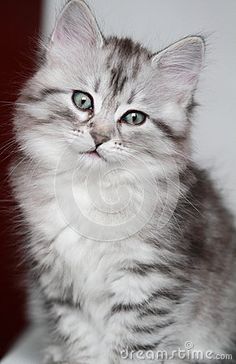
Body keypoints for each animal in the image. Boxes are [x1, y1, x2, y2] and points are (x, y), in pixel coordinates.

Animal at [11, 0, 236, 364]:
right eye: (83, 101)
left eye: (133, 118)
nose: (99, 138)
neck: (91, 190)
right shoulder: (59, 285)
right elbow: (82, 342)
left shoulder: (148, 283)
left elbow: (132, 348)